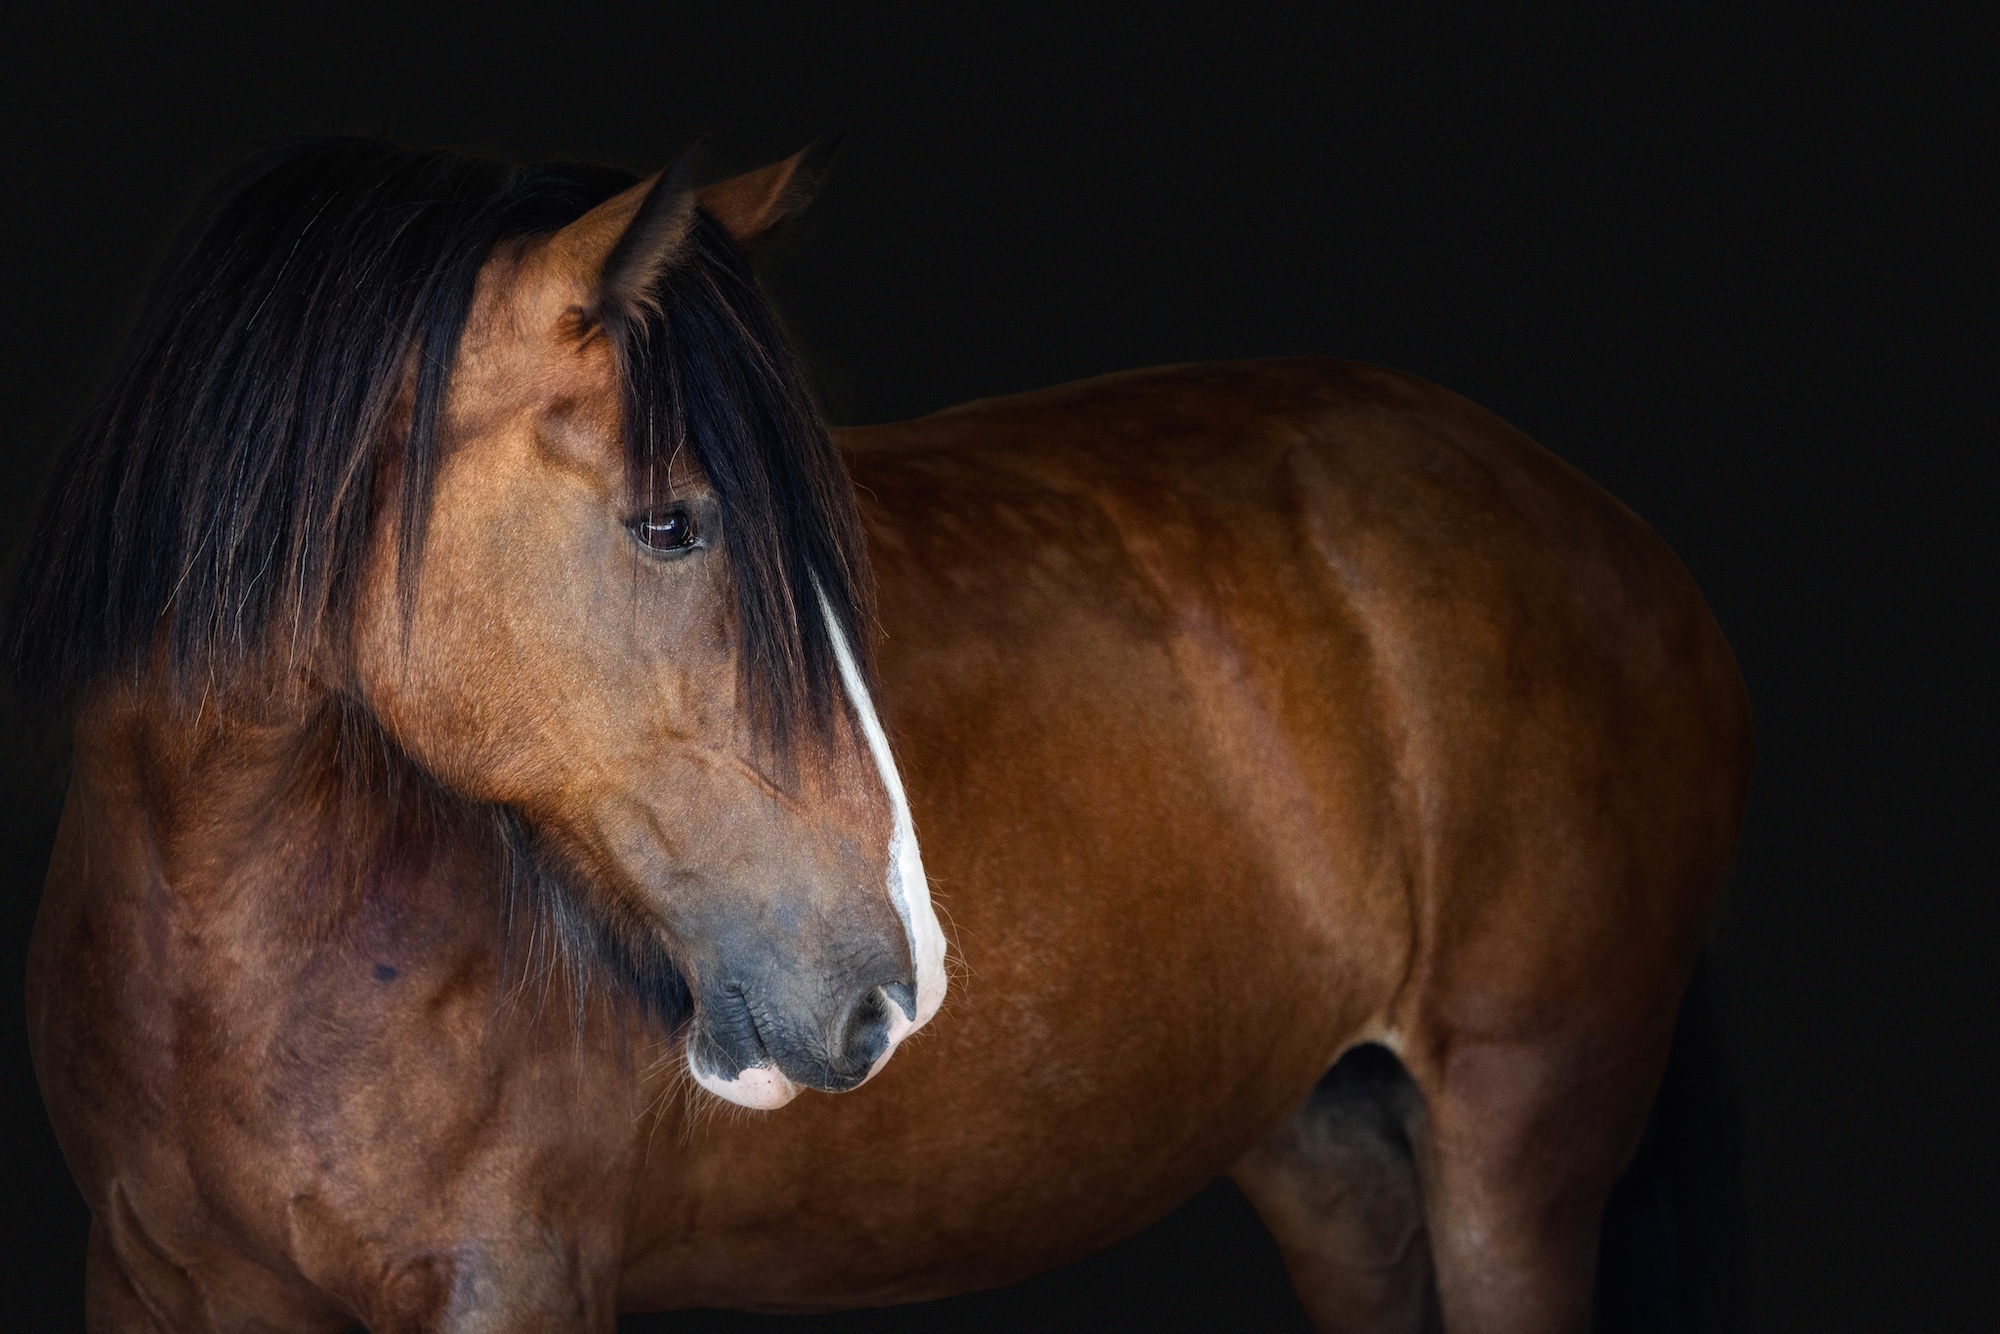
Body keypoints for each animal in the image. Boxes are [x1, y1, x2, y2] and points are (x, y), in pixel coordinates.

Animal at [13, 136, 1752, 1334]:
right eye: (670, 523)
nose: (887, 989)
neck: (224, 943)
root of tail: (1619, 540)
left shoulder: (509, 1279)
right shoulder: (153, 1282)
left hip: (1518, 1141)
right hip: (1332, 1144)